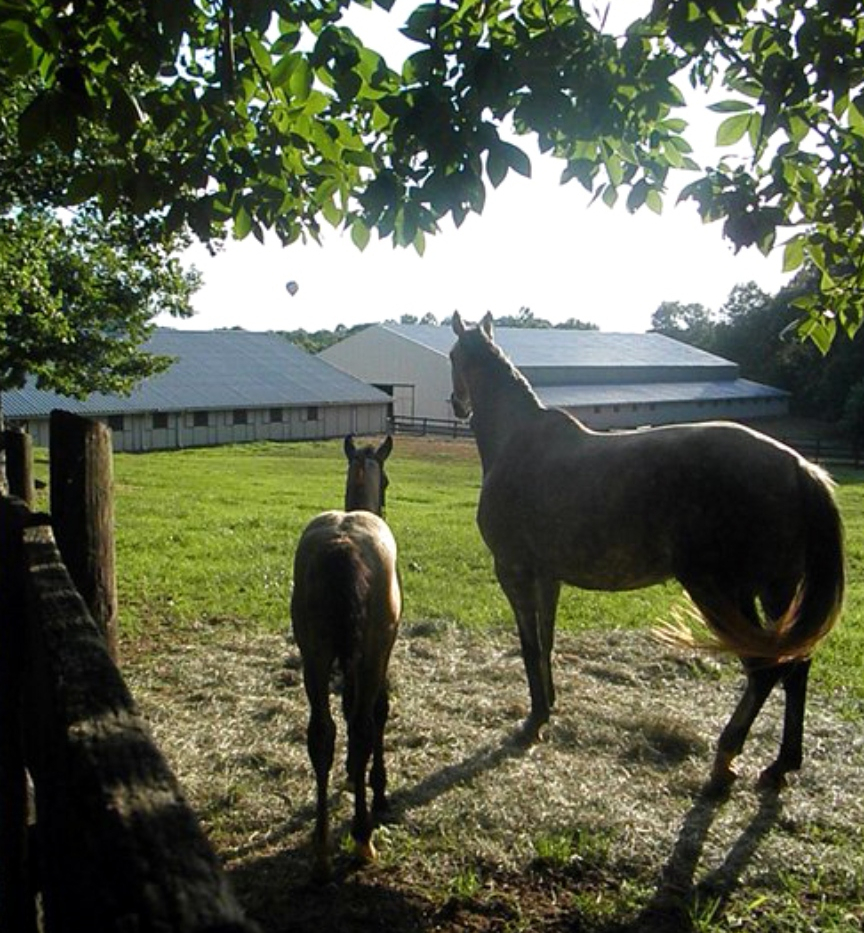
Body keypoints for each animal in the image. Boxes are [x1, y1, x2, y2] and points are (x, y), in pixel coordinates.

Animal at [288, 434, 400, 876]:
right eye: (386, 479)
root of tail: (341, 544)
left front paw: (354, 774)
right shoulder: (380, 652)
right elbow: (377, 712)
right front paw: (376, 786)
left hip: (314, 656)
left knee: (322, 733)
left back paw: (320, 849)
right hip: (367, 654)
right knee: (362, 725)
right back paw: (362, 837)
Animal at [452, 314, 844, 792]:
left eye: (451, 358)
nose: (457, 404)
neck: (517, 440)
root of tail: (798, 467)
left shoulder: (514, 571)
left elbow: (529, 646)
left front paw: (535, 721)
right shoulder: (549, 576)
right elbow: (545, 642)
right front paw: (550, 705)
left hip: (720, 591)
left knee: (764, 669)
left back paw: (725, 760)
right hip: (775, 592)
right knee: (795, 666)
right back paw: (781, 765)